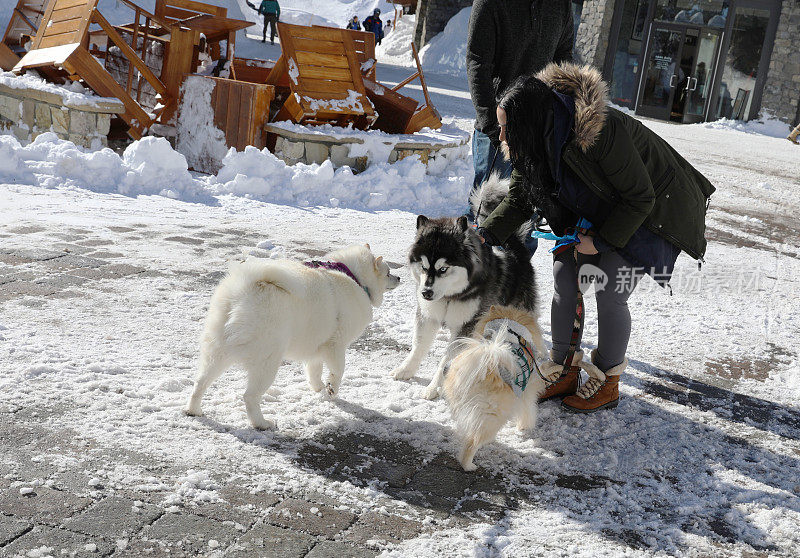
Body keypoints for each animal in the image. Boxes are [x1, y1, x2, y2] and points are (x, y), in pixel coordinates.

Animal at [186, 243, 400, 430]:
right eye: (388, 273)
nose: (399, 277)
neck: (354, 277)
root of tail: (245, 289)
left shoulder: (316, 347)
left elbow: (314, 371)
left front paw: (319, 389)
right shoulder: (336, 345)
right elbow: (338, 370)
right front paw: (331, 388)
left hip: (216, 353)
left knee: (200, 383)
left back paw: (193, 410)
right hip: (267, 361)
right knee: (249, 396)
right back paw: (261, 423)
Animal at [444, 306, 552, 472]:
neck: (510, 328)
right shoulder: (526, 390)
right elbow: (528, 410)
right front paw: (525, 428)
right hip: (493, 415)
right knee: (473, 441)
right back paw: (468, 465)